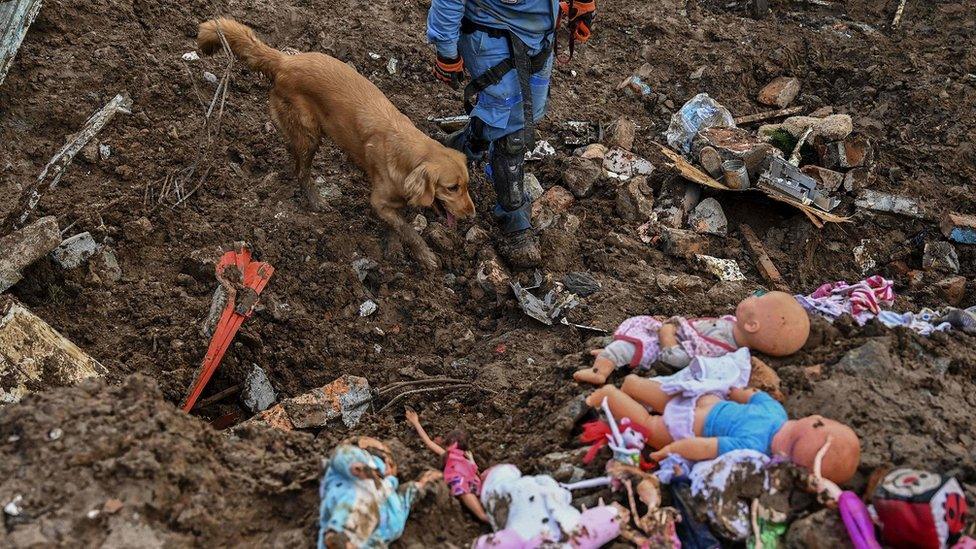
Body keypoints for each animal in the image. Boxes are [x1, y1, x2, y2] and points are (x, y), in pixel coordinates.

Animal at [196, 18, 474, 270]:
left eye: (467, 185)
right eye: (452, 187)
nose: (471, 215)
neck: (407, 150)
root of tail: (285, 60)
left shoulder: (393, 199)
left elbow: (397, 224)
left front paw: (394, 246)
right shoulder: (378, 200)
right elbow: (409, 230)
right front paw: (425, 255)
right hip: (309, 134)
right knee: (302, 171)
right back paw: (316, 201)